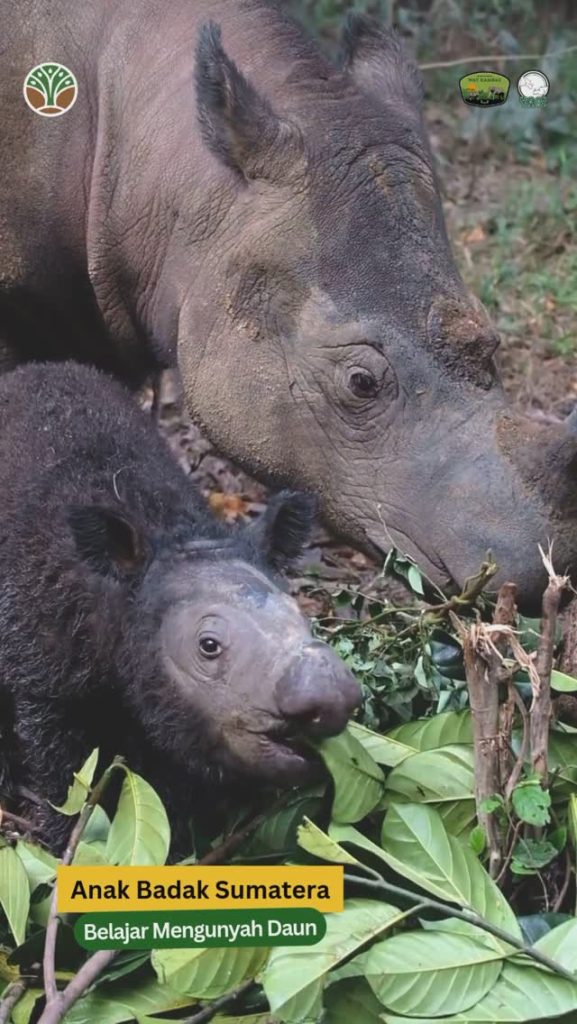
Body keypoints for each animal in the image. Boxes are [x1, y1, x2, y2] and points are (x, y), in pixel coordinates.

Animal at [0, 362, 359, 851]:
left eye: (301, 615)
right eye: (208, 646)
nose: (333, 696)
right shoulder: (45, 677)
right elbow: (65, 780)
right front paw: (63, 846)